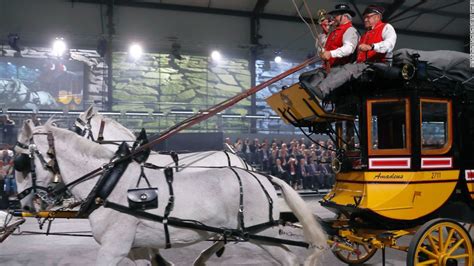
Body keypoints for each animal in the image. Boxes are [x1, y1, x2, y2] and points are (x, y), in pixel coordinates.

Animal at [14, 120, 326, 264]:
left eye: (21, 163)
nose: (25, 205)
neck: (109, 182)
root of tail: (262, 176)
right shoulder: (136, 248)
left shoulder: (113, 248)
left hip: (262, 234)